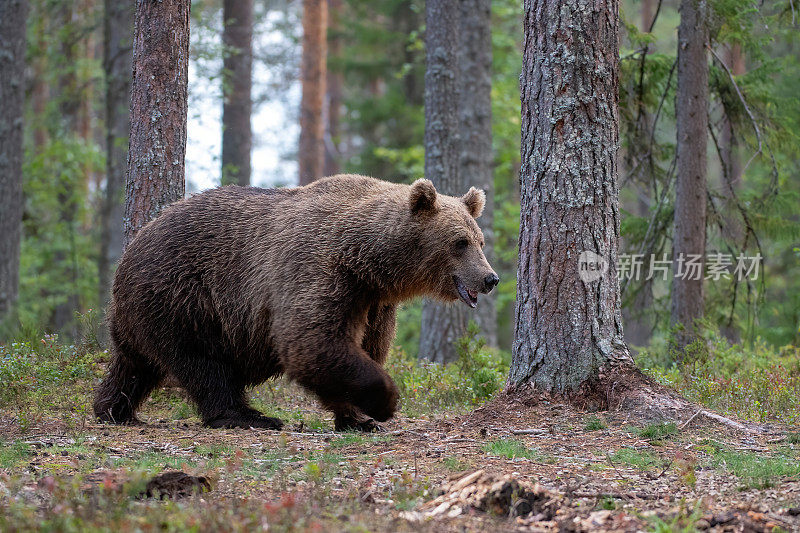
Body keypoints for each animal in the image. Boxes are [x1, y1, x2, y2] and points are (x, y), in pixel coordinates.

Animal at [92, 177, 494, 430]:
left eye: (480, 241)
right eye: (459, 242)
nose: (490, 278)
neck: (368, 260)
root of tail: (131, 248)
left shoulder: (372, 302)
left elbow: (364, 346)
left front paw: (357, 417)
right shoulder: (319, 270)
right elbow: (311, 341)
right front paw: (384, 402)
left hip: (146, 312)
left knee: (135, 364)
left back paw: (113, 409)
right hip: (185, 296)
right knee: (203, 363)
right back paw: (248, 416)